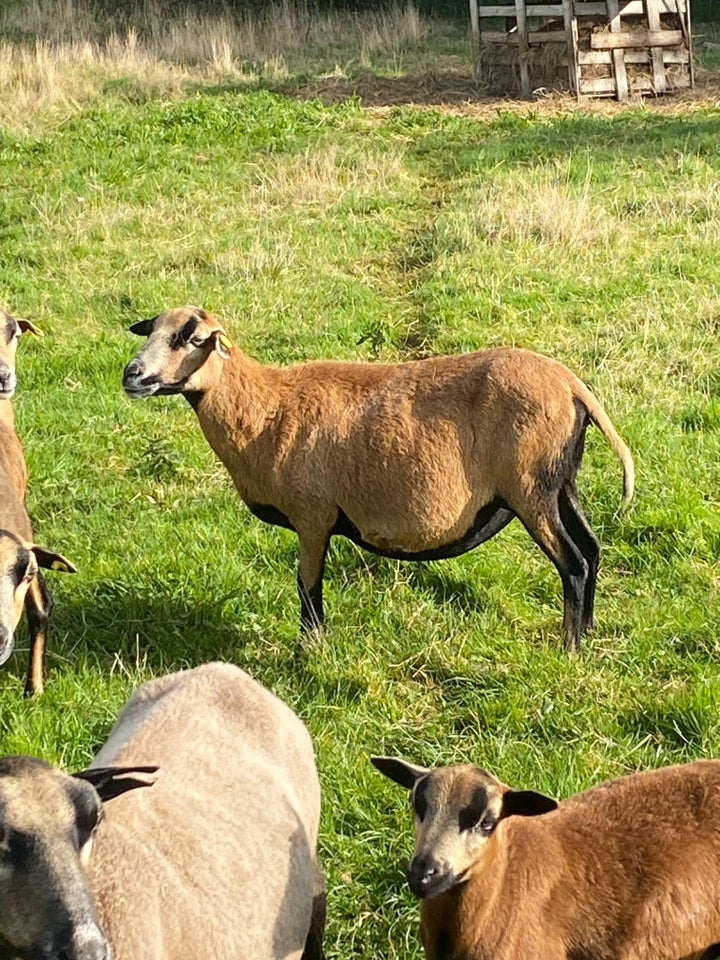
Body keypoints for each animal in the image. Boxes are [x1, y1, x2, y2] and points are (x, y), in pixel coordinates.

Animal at [124, 308, 636, 652]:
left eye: (188, 338)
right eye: (152, 330)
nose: (132, 375)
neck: (263, 409)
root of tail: (573, 387)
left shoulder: (313, 516)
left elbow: (307, 585)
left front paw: (309, 649)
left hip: (530, 487)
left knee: (573, 561)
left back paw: (569, 647)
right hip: (561, 481)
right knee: (592, 548)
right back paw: (589, 633)